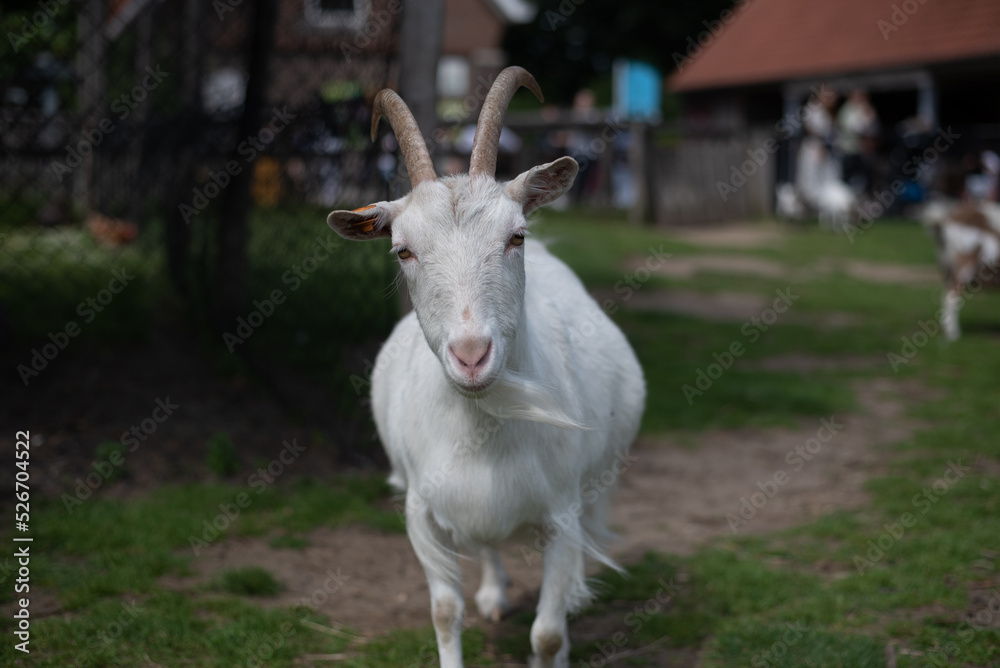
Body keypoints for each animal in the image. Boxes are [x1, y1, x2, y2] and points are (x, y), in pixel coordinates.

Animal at [324, 69, 644, 668]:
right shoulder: (422, 512)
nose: (472, 355)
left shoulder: (562, 513)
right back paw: (495, 593)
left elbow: (547, 632)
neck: (481, 427)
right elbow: (445, 611)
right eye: (402, 250)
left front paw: (557, 640)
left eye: (515, 236)